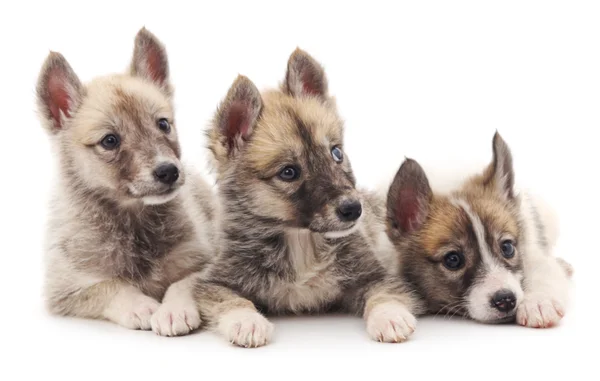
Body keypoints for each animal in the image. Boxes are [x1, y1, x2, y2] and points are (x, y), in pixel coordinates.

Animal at [37, 26, 218, 336]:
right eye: (110, 141)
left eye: (163, 124)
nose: (169, 171)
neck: (134, 220)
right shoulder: (66, 287)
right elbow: (110, 286)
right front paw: (142, 306)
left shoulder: (201, 258)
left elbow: (184, 283)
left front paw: (175, 309)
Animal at [196, 48, 422, 348]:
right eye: (289, 172)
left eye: (336, 153)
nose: (354, 209)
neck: (301, 241)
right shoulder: (213, 283)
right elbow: (231, 301)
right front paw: (246, 322)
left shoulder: (376, 275)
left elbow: (384, 294)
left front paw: (390, 317)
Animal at [384, 131, 572, 326]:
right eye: (453, 260)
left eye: (507, 248)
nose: (506, 300)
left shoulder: (533, 250)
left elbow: (542, 272)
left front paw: (538, 301)